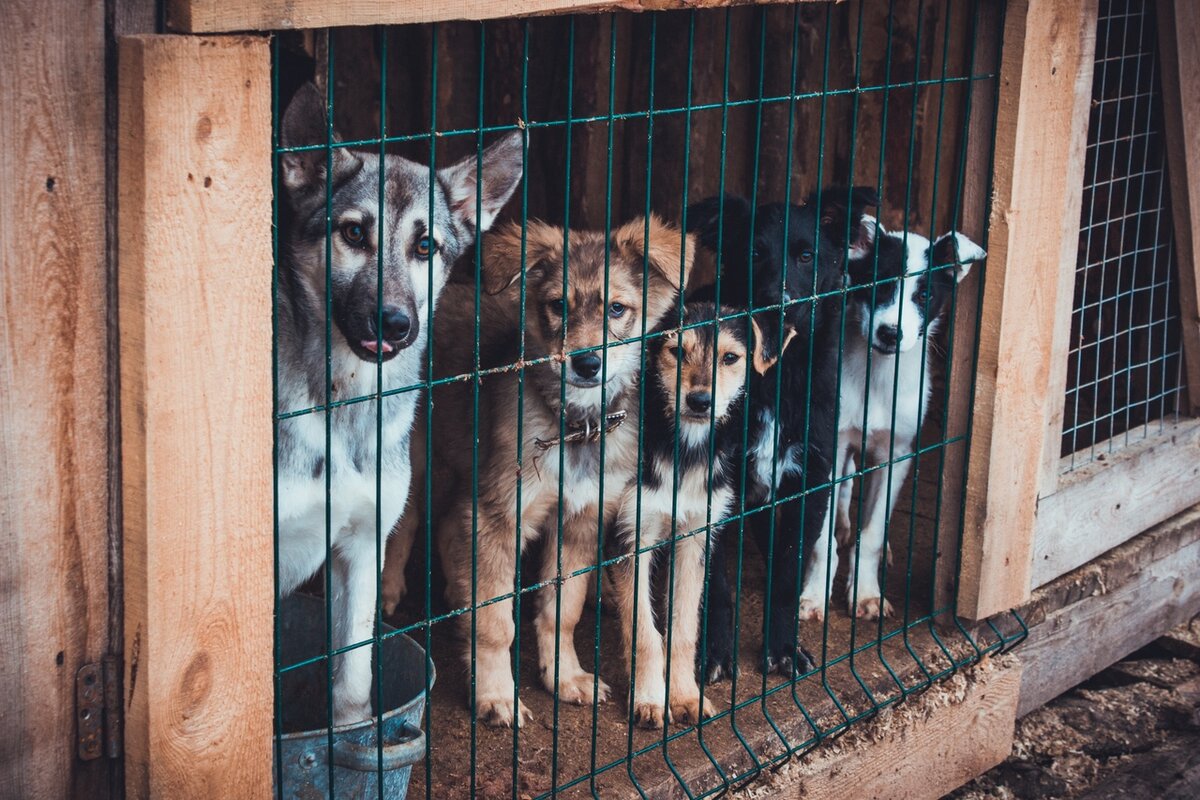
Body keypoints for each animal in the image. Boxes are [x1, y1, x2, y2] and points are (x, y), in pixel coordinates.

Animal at [278, 84, 528, 729]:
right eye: (353, 234)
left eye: (425, 246)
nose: (393, 324)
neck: (344, 402)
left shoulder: (360, 550)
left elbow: (352, 691)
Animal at [384, 212, 696, 724]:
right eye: (557, 306)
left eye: (618, 309)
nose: (587, 363)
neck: (575, 428)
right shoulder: (500, 515)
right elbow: (497, 622)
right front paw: (495, 693)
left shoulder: (578, 521)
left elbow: (562, 611)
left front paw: (563, 677)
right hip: (420, 462)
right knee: (405, 523)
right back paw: (388, 591)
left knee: (447, 527)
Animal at [686, 184, 883, 681]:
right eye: (753, 253)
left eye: (807, 255)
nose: (779, 302)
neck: (776, 374)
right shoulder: (716, 490)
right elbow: (717, 585)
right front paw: (714, 653)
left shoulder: (809, 482)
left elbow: (789, 574)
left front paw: (782, 649)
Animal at [801, 221, 988, 623]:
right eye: (880, 284)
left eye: (925, 295)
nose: (890, 333)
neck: (878, 376)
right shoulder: (828, 448)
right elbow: (821, 538)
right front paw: (814, 594)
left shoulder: (897, 454)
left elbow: (871, 535)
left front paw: (866, 593)